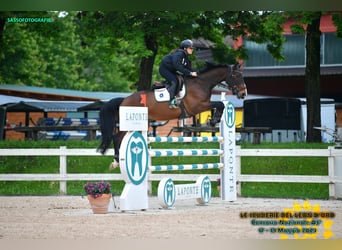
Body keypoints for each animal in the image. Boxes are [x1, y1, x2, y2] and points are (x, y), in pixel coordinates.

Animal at [97, 61, 247, 169]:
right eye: (236, 76)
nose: (243, 93)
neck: (201, 83)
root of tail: (124, 100)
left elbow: (220, 105)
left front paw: (213, 120)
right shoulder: (197, 106)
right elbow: (220, 104)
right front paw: (213, 120)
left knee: (120, 137)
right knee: (116, 137)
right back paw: (116, 161)